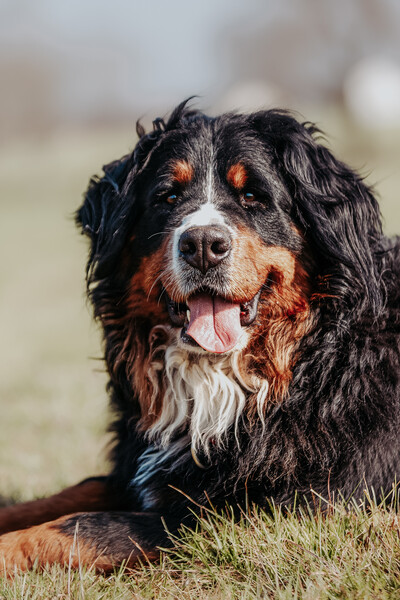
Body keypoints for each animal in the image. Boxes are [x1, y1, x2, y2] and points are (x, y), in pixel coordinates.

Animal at [0, 102, 400, 572]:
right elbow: (69, 494)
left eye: (253, 197)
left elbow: (79, 526)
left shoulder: (255, 513)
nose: (204, 244)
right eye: (168, 197)